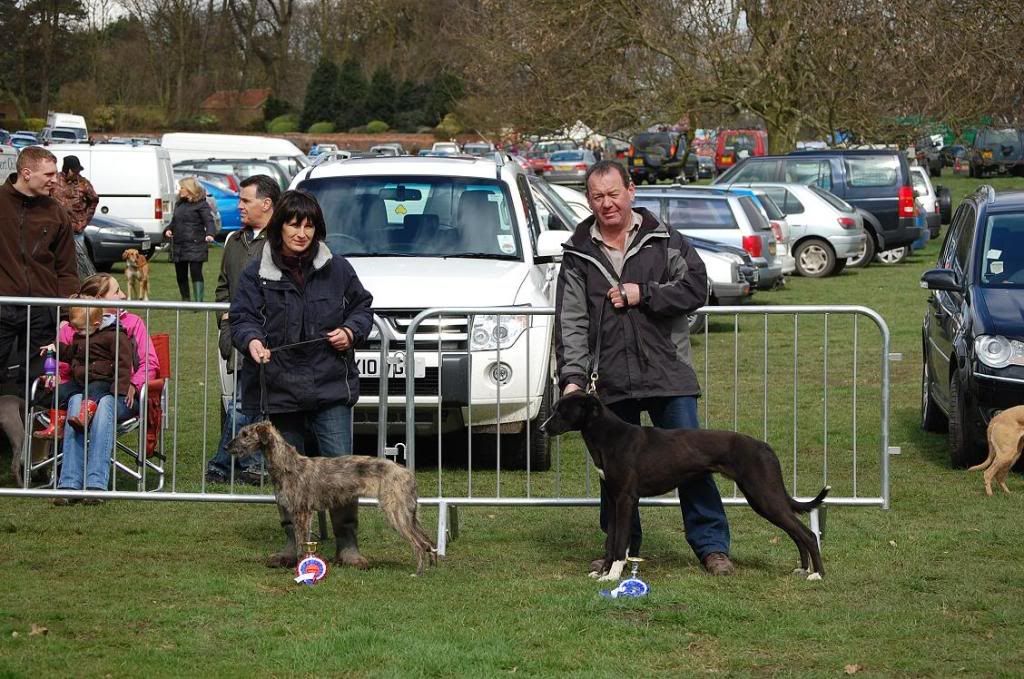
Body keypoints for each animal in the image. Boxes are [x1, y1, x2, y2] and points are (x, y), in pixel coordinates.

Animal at [228, 421, 436, 577]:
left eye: (245, 434)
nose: (227, 446)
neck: (288, 464)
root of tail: (408, 473)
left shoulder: (302, 512)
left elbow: (302, 544)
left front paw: (301, 569)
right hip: (408, 514)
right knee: (428, 541)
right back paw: (432, 567)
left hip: (396, 513)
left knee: (420, 544)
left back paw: (418, 572)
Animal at [540, 393, 827, 585]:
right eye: (554, 408)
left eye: (562, 411)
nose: (542, 428)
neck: (611, 436)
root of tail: (765, 447)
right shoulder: (612, 499)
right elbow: (611, 541)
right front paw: (602, 571)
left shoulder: (625, 499)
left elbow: (620, 542)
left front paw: (612, 576)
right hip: (764, 499)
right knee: (796, 533)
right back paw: (803, 570)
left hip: (764, 496)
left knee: (807, 534)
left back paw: (817, 574)